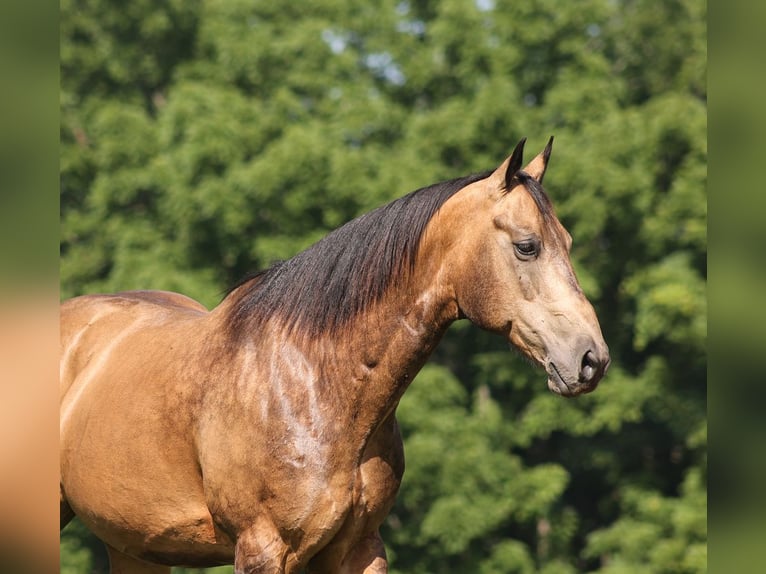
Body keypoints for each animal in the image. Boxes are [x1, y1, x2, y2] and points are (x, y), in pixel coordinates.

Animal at [60, 138, 609, 573]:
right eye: (527, 246)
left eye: (568, 241)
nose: (592, 359)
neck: (315, 383)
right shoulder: (261, 549)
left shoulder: (358, 548)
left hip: (134, 546)